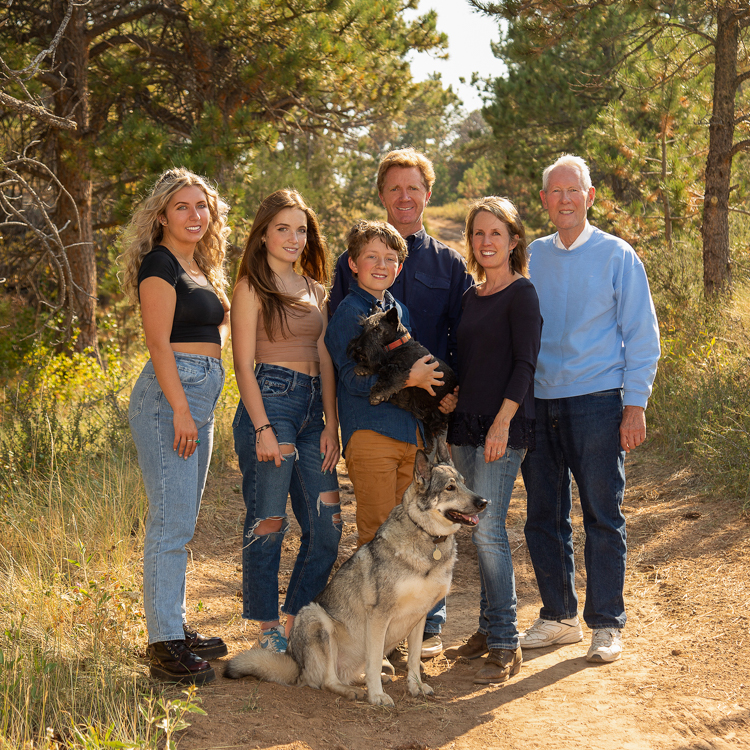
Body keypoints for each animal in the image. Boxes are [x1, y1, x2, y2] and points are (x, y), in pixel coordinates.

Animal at [225, 440, 488, 704]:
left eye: (464, 482)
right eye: (450, 488)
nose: (484, 502)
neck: (429, 539)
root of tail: (296, 665)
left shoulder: (420, 616)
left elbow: (413, 660)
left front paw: (415, 687)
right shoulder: (379, 617)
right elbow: (375, 661)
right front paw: (377, 697)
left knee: (346, 675)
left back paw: (370, 680)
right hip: (316, 618)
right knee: (328, 681)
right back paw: (354, 691)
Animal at [346, 306, 458, 452]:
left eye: (376, 329)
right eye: (363, 327)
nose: (357, 348)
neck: (397, 344)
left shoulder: (403, 369)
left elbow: (391, 375)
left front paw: (377, 394)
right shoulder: (383, 358)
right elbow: (378, 364)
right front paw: (363, 367)